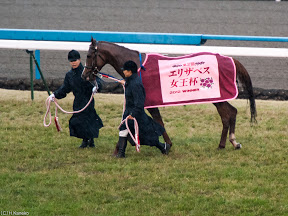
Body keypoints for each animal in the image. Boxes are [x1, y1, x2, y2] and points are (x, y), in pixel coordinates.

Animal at [81, 37, 256, 152]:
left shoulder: (146, 102)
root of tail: (231, 59)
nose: (85, 75)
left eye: (89, 55)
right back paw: (230, 143)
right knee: (230, 113)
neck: (137, 67)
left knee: (228, 114)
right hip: (218, 97)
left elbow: (156, 121)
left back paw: (227, 143)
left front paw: (165, 144)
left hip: (217, 96)